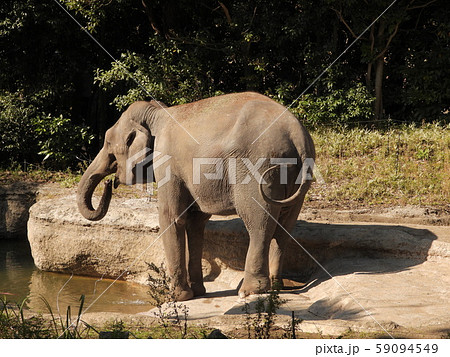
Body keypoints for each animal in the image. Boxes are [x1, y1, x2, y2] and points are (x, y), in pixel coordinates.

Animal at [77, 92, 314, 300]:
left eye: (108, 143)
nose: (110, 183)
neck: (156, 114)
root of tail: (297, 134)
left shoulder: (167, 164)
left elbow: (171, 219)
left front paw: (176, 298)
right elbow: (196, 222)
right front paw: (198, 292)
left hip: (259, 168)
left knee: (259, 224)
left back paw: (249, 292)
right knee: (284, 227)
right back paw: (276, 287)